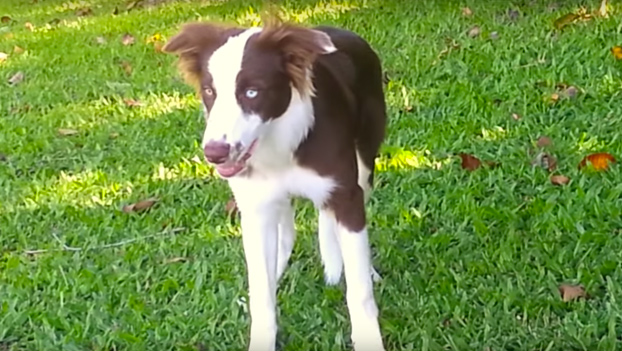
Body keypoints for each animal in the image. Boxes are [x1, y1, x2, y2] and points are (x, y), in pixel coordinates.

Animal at [165, 17, 390, 350]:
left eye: (252, 92)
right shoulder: (257, 208)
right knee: (286, 231)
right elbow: (262, 294)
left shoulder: (346, 195)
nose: (214, 153)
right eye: (209, 91)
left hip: (365, 158)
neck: (282, 142)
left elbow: (359, 289)